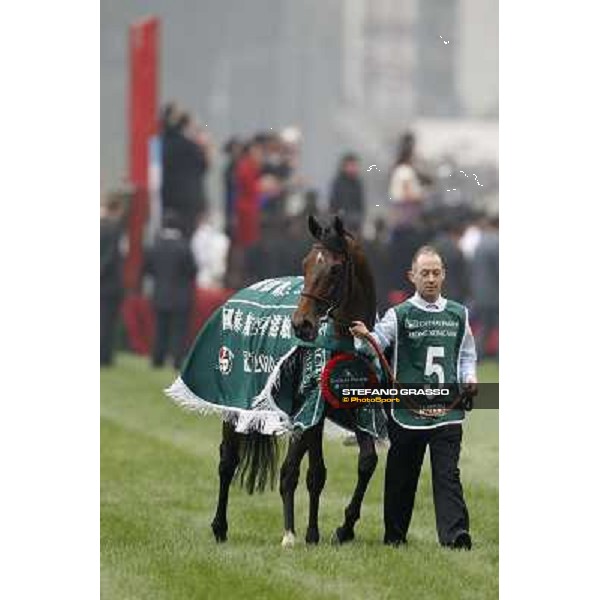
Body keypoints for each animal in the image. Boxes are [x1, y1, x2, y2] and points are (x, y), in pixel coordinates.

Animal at [211, 214, 380, 544]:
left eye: (335, 268)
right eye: (305, 264)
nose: (302, 324)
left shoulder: (342, 410)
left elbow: (362, 462)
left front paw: (342, 528)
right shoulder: (306, 410)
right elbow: (290, 470)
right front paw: (289, 533)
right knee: (228, 461)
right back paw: (220, 526)